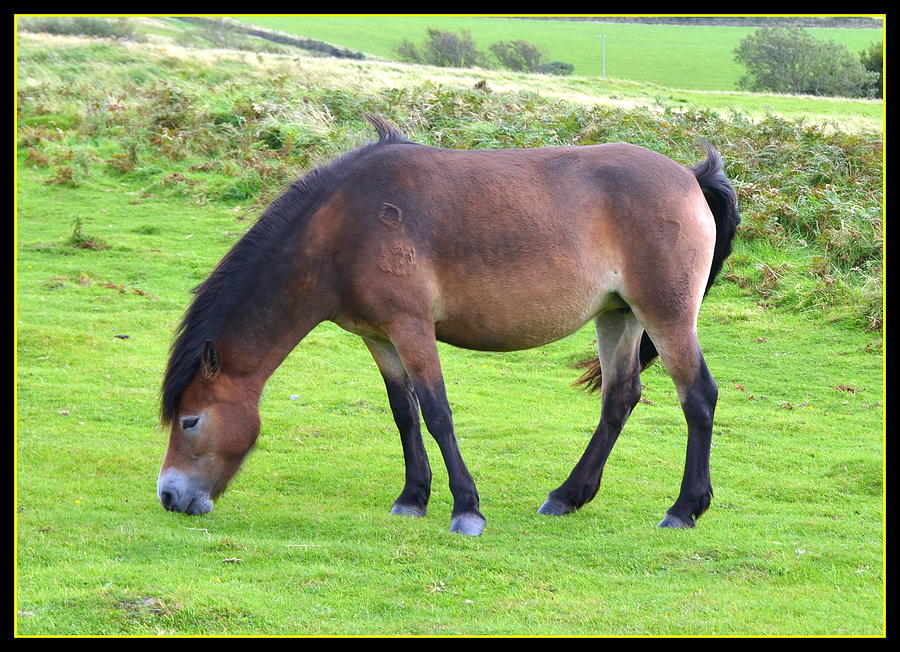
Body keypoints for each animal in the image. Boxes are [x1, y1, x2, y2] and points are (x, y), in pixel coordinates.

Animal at [158, 116, 740, 536]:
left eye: (190, 421)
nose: (169, 496)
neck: (342, 227)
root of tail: (689, 177)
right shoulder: (379, 336)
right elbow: (404, 413)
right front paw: (412, 498)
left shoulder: (412, 327)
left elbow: (437, 412)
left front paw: (467, 509)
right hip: (618, 316)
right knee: (620, 397)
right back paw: (566, 496)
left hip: (666, 315)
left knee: (698, 396)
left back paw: (684, 509)